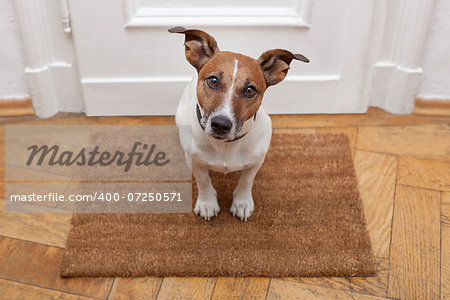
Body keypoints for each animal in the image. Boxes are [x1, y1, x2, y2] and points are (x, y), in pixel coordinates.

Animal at [169, 27, 310, 221]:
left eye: (250, 90)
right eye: (213, 81)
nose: (221, 124)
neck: (225, 146)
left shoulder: (256, 161)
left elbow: (246, 181)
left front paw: (242, 203)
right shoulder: (195, 161)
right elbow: (203, 181)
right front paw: (207, 203)